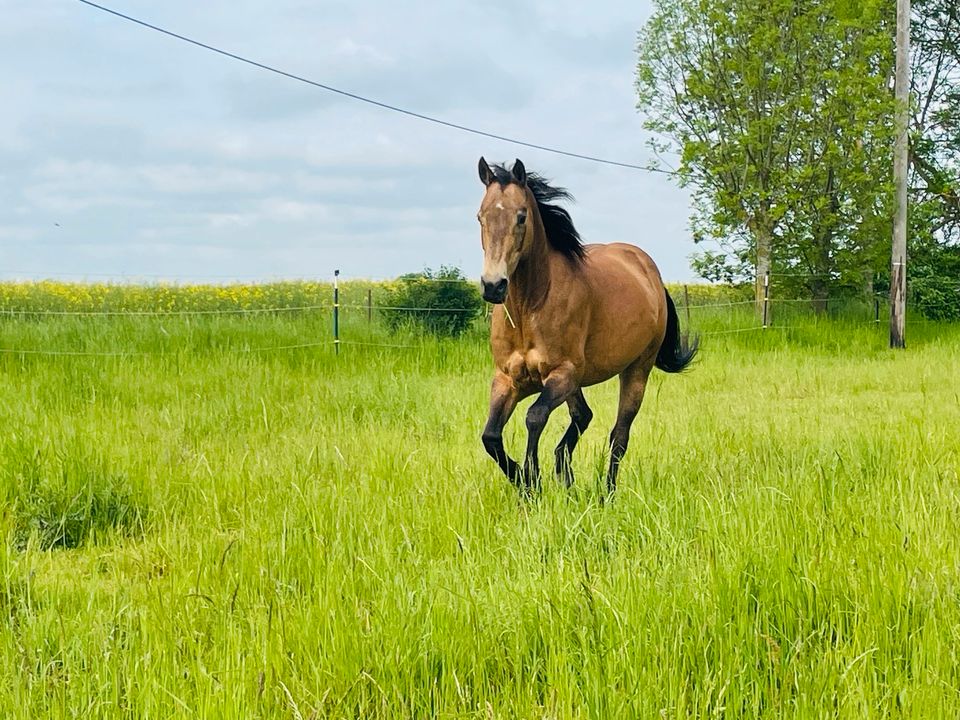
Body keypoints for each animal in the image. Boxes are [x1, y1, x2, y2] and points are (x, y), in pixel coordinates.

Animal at [478, 158, 696, 496]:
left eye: (521, 217)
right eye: (481, 217)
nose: (493, 286)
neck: (531, 307)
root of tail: (650, 272)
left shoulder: (562, 374)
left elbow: (534, 417)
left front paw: (533, 482)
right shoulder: (508, 379)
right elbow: (490, 436)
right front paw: (525, 482)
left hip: (636, 371)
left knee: (619, 435)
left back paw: (607, 493)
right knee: (583, 417)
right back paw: (566, 477)